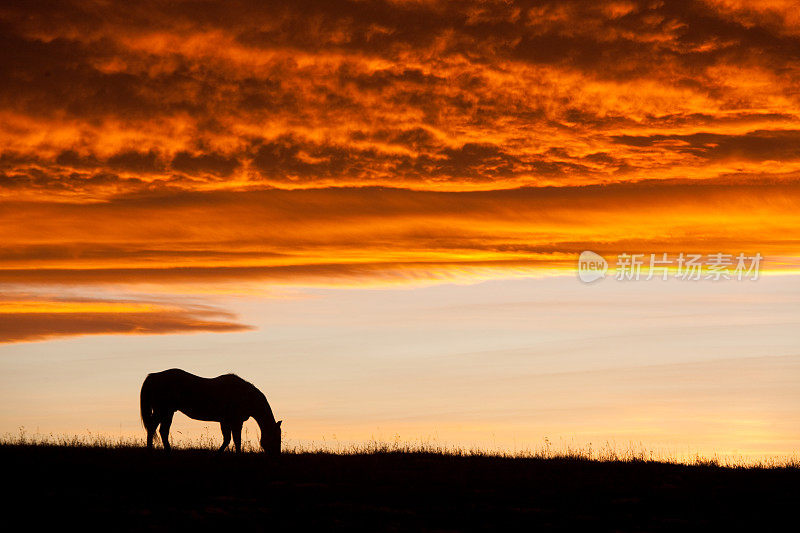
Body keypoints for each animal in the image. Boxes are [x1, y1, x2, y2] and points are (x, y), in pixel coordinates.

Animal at [140, 370, 282, 454]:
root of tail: (153, 376)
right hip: (162, 411)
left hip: (168, 412)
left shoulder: (225, 421)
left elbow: (227, 439)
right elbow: (236, 440)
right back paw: (152, 450)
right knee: (153, 428)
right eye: (276, 437)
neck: (245, 396)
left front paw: (219, 454)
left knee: (162, 430)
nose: (276, 456)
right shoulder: (236, 422)